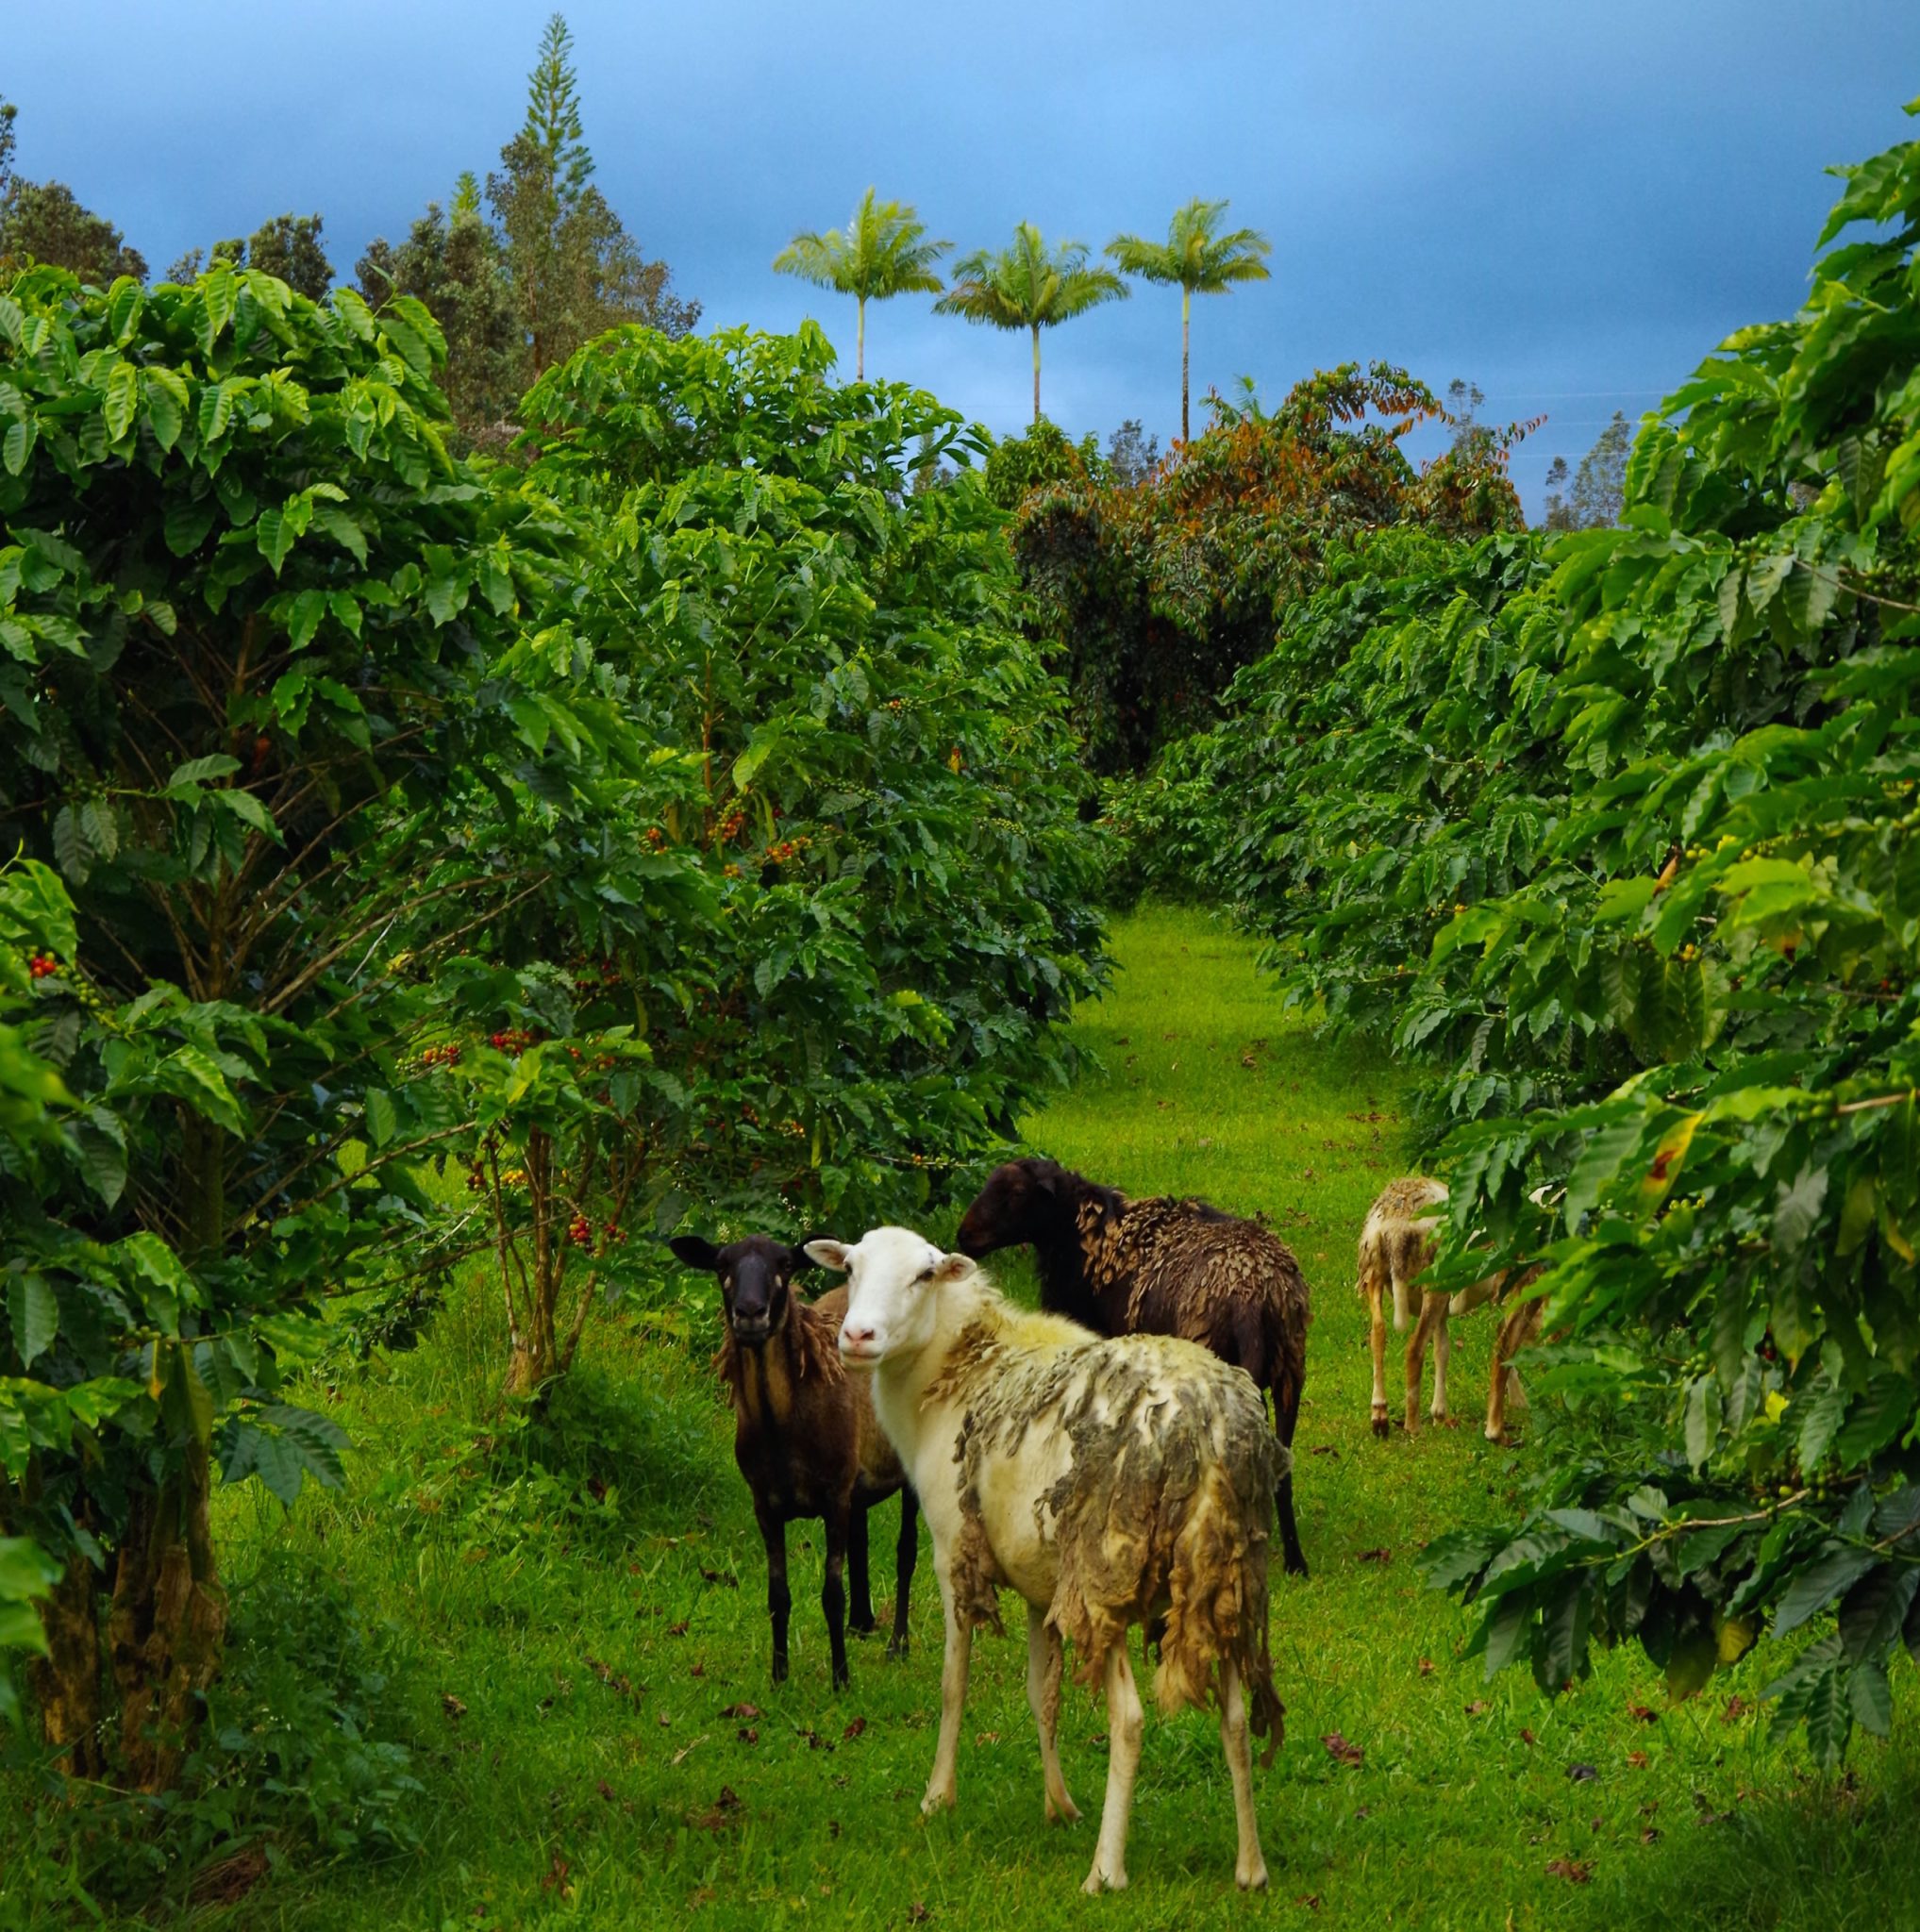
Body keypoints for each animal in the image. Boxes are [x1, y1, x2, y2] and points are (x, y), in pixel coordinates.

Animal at [668, 1236, 915, 1676]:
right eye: (721, 1266)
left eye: (784, 1265)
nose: (750, 1313)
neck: (782, 1429)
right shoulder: (765, 1504)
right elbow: (777, 1595)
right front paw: (779, 1676)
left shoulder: (833, 1496)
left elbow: (832, 1595)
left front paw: (841, 1678)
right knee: (862, 1537)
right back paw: (861, 1623)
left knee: (907, 1552)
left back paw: (897, 1643)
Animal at [799, 1228, 1282, 1893]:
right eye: (850, 1268)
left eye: (924, 1276)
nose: (858, 1337)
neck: (956, 1366)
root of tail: (1202, 1428)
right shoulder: (1039, 1583)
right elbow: (1041, 1693)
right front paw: (1059, 1805)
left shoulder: (954, 1553)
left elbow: (953, 1685)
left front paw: (938, 1797)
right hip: (1225, 1580)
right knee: (1235, 1718)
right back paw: (1250, 1868)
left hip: (1108, 1576)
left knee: (1130, 1720)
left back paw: (1105, 1871)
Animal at [950, 1151, 1313, 1576]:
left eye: (1017, 1193)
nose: (964, 1237)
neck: (1089, 1240)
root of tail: (1254, 1299)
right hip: (1290, 1372)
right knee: (1281, 1469)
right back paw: (1294, 1561)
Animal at [1344, 1166, 1544, 1444]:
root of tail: (1395, 1225)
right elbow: (1505, 1343)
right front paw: (1516, 1402)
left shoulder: (1445, 1308)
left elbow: (1442, 1349)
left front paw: (1440, 1414)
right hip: (1433, 1280)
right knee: (1414, 1348)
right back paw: (1413, 1425)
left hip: (1374, 1273)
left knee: (1378, 1334)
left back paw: (1380, 1415)